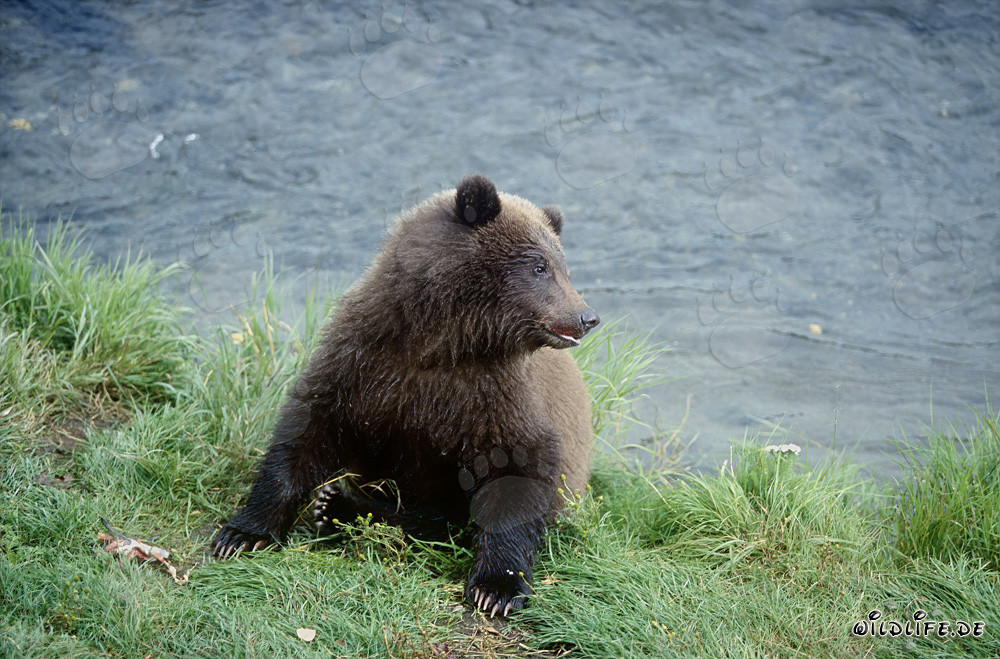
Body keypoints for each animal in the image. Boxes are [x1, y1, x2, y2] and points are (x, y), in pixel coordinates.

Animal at [212, 175, 599, 617]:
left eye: (561, 265)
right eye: (540, 266)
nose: (588, 316)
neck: (442, 340)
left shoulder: (493, 395)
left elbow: (519, 465)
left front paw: (496, 588)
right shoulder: (364, 361)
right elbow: (308, 431)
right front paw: (242, 533)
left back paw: (339, 507)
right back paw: (333, 506)